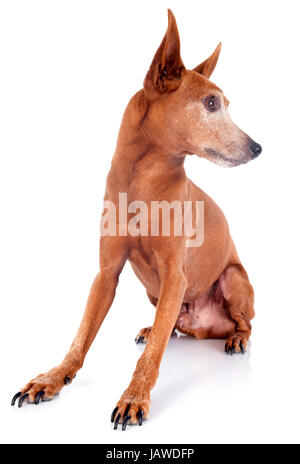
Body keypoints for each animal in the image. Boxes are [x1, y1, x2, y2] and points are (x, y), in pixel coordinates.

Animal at [11, 10, 260, 432]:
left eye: (224, 103)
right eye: (211, 103)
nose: (258, 147)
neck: (143, 179)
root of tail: (206, 329)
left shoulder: (175, 274)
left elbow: (153, 355)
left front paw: (134, 397)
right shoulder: (107, 272)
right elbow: (81, 337)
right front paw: (53, 378)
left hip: (232, 280)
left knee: (245, 324)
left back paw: (236, 339)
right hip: (154, 293)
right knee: (168, 324)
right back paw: (154, 327)